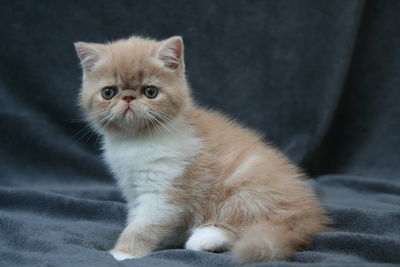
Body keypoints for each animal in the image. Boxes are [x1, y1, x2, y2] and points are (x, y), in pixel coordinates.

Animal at [73, 35, 330, 264]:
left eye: (150, 91)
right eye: (108, 92)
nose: (127, 97)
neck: (136, 140)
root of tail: (309, 217)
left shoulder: (166, 189)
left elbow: (144, 225)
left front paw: (122, 253)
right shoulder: (132, 188)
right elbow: (136, 216)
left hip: (246, 187)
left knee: (251, 225)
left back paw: (205, 237)